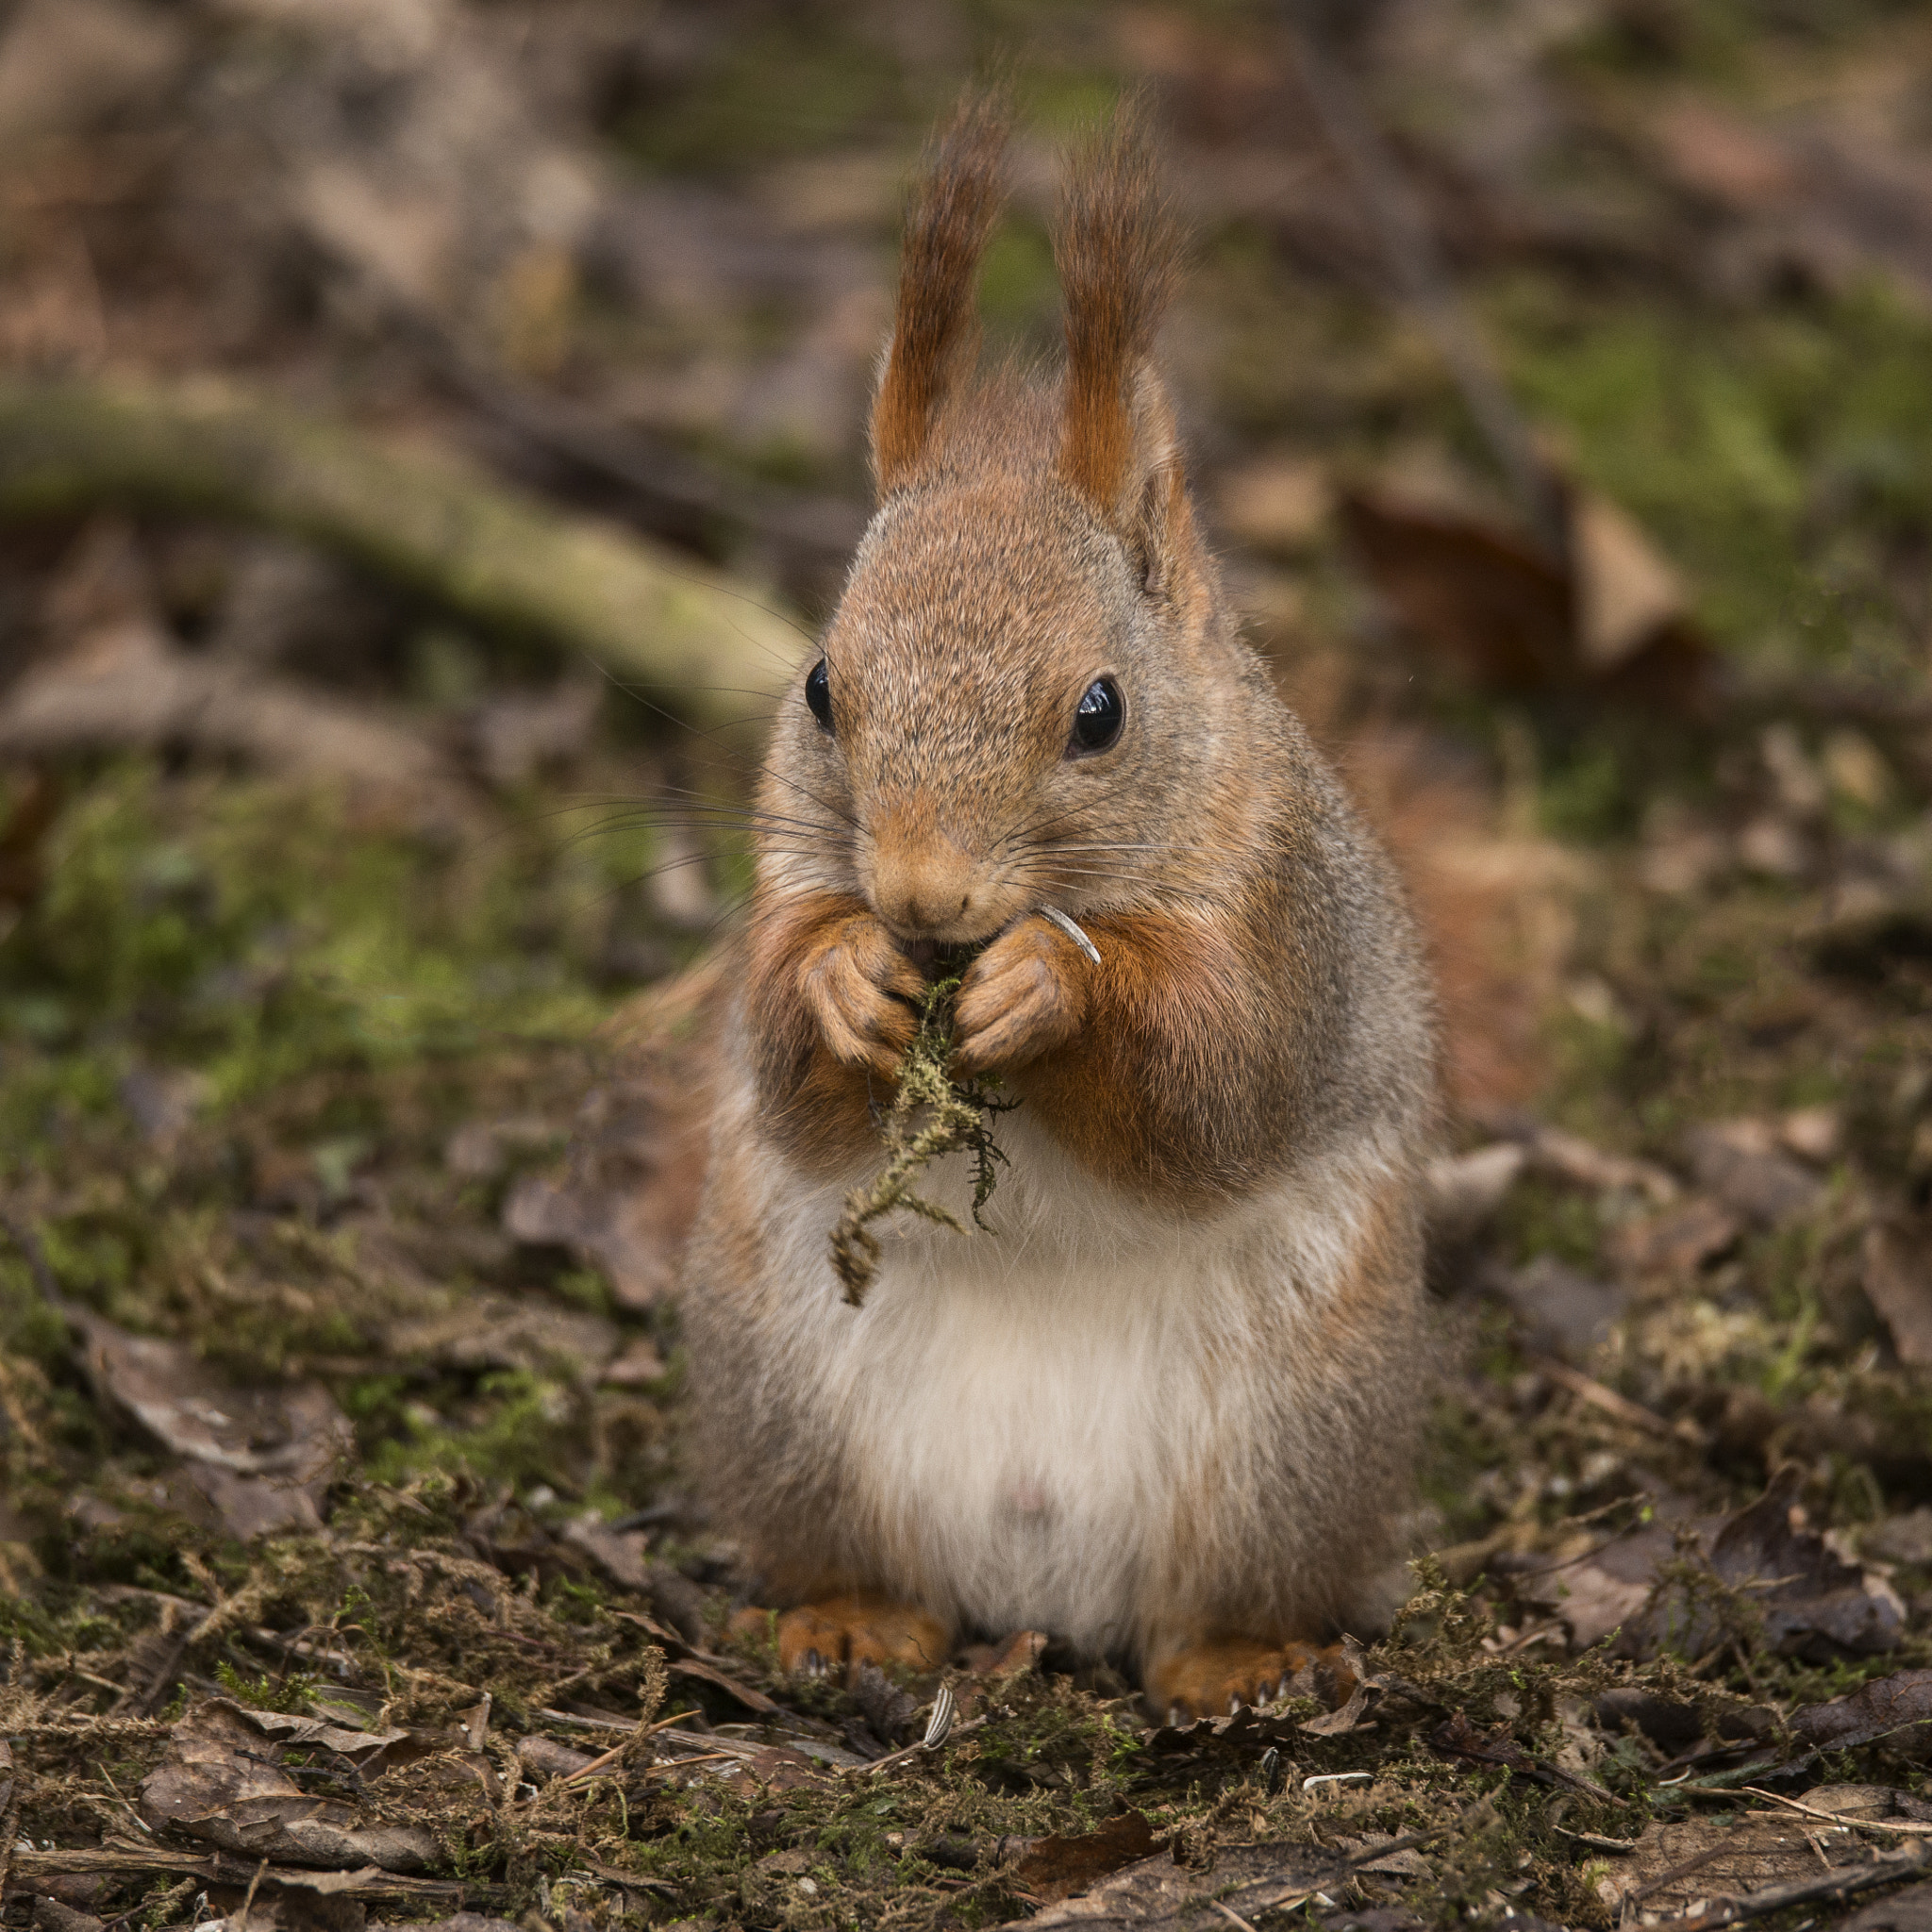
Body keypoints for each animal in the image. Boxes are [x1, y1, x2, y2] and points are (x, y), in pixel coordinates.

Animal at [679, 93, 1437, 1723]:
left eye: (1101, 712)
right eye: (821, 686)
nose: (922, 896)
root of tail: (1041, 1586)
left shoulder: (1285, 921)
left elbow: (1221, 1091)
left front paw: (1054, 990)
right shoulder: (784, 879)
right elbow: (785, 1073)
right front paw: (844, 982)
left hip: (1292, 1435)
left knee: (1214, 1599)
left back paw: (1239, 1660)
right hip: (787, 1395)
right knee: (863, 1558)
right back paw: (853, 1623)